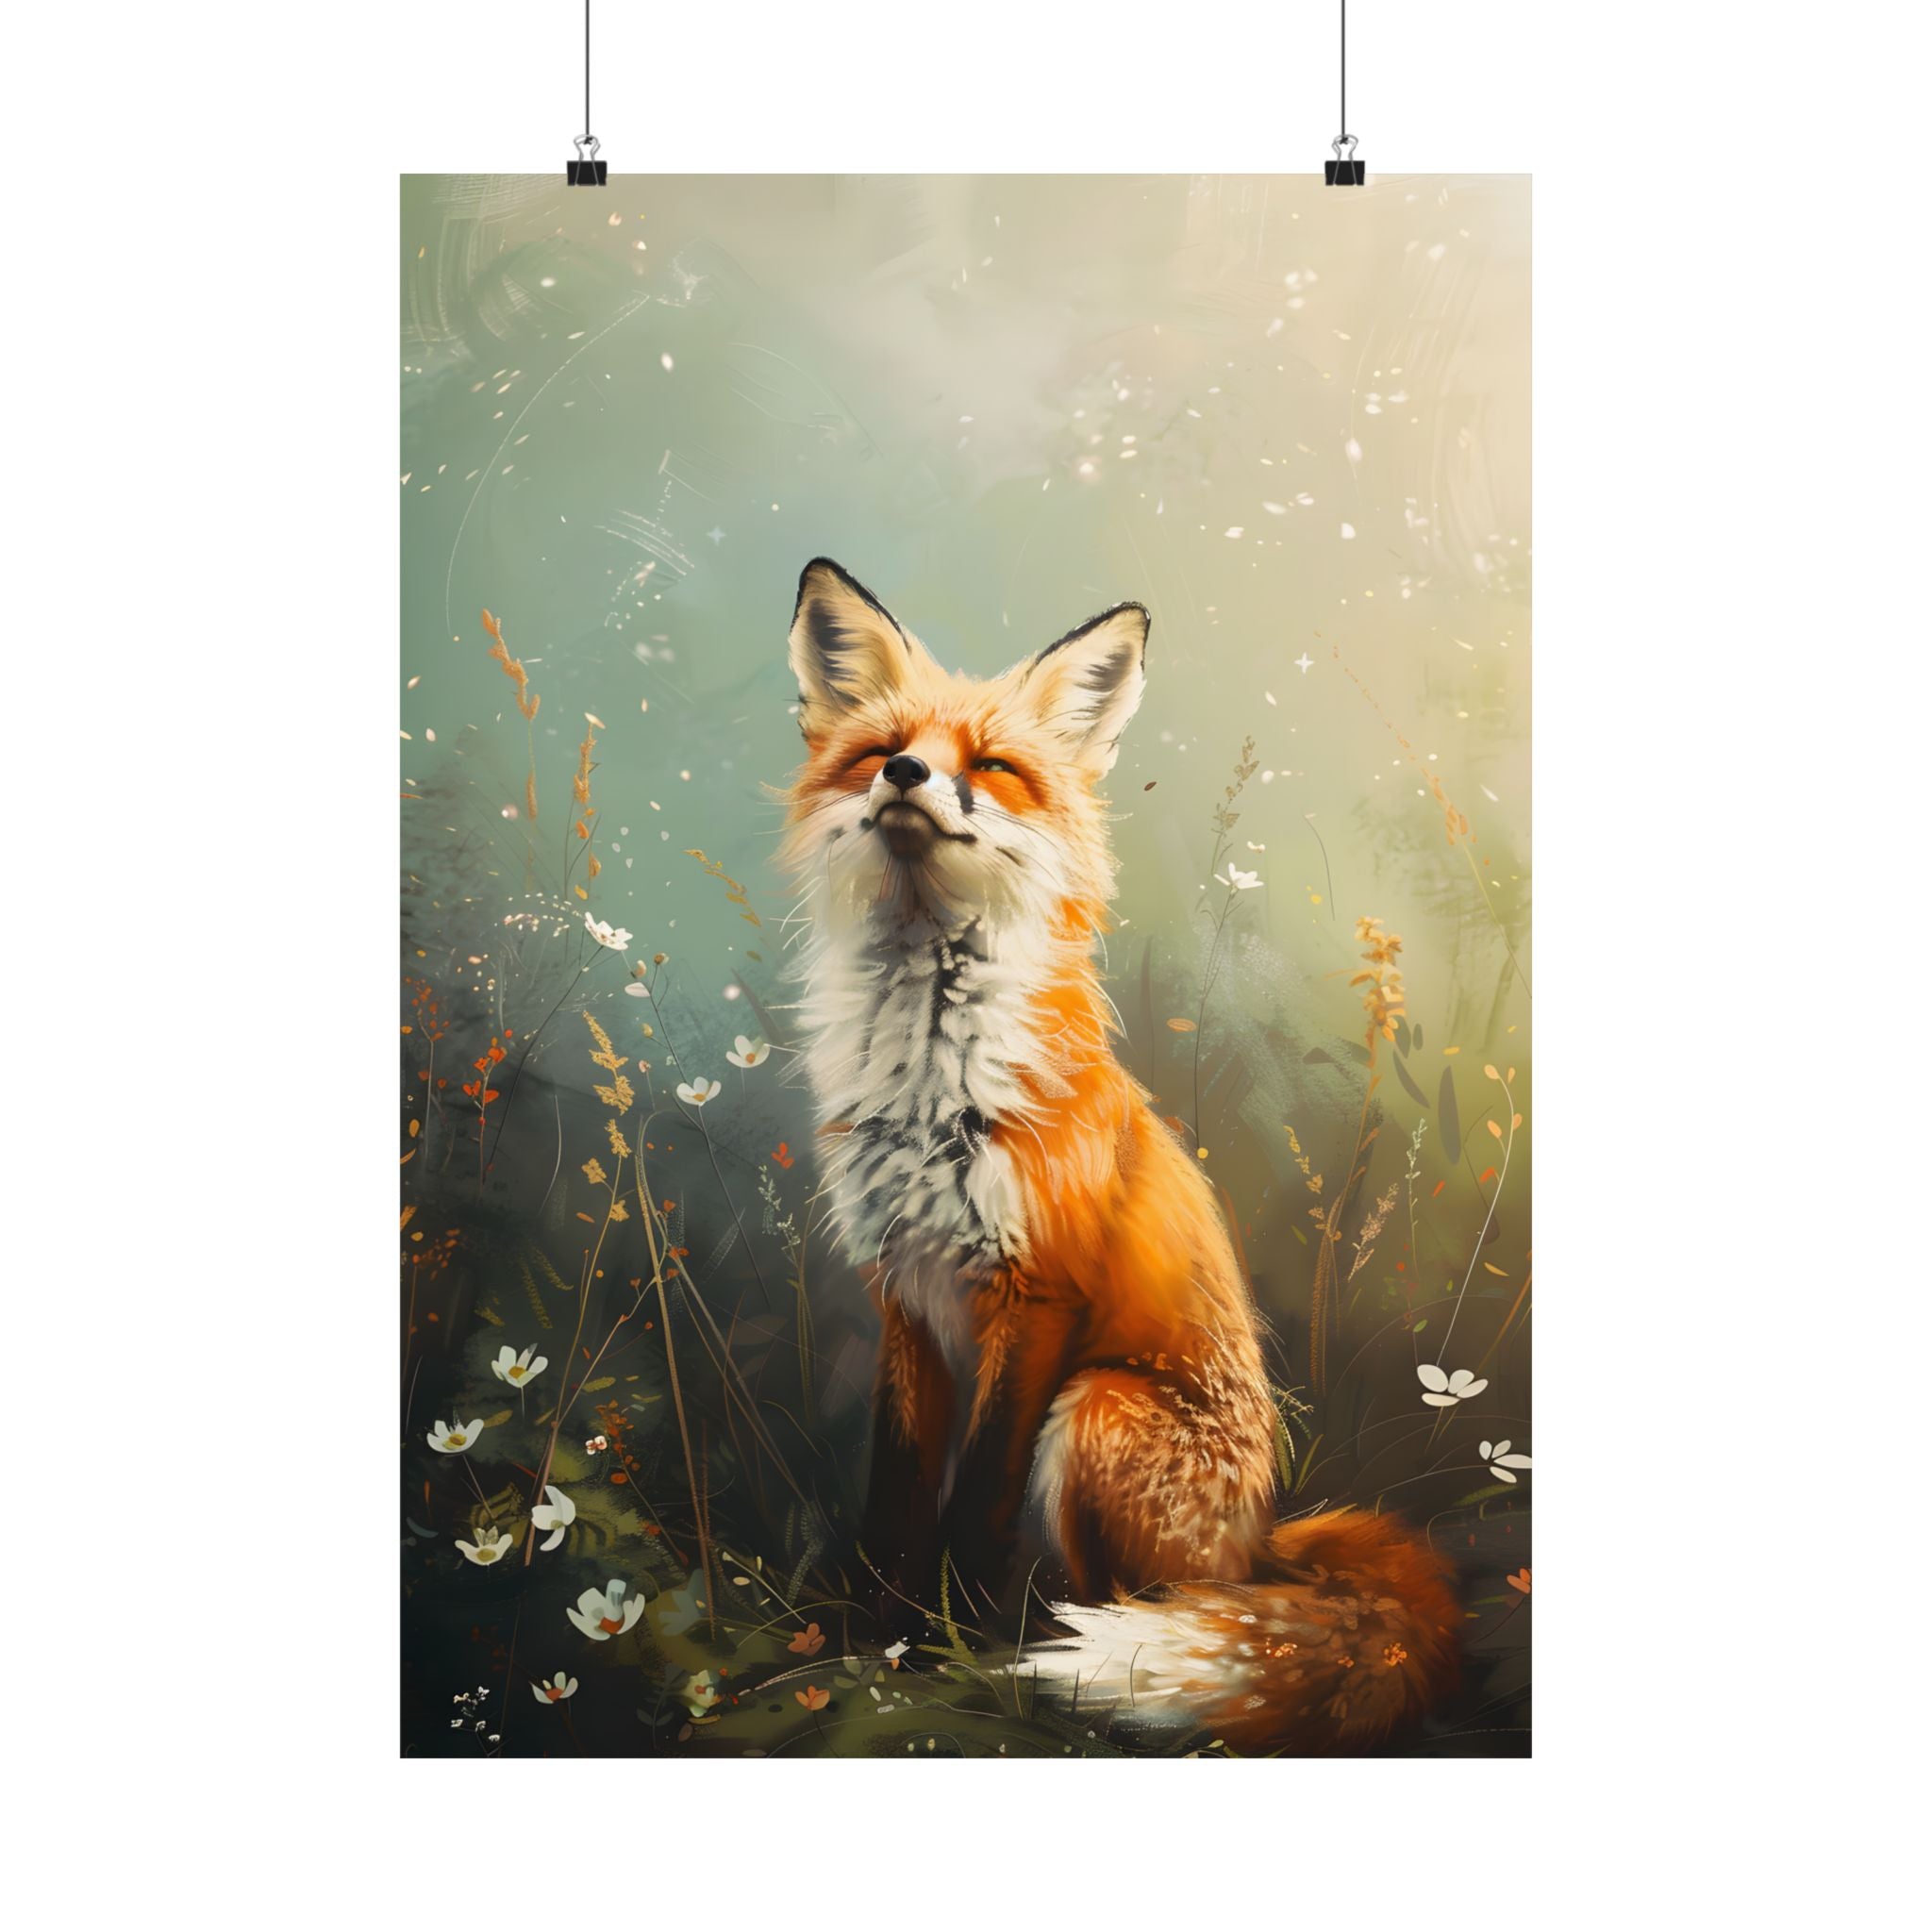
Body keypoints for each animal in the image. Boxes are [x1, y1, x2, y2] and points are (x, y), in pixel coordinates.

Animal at [781, 557, 1459, 1752]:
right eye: (882, 749)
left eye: (991, 767)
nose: (907, 774)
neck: (930, 1072)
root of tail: (1260, 1544)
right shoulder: (902, 1289)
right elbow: (895, 1493)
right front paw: (879, 1637)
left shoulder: (1036, 1291)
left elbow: (973, 1504)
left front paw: (946, 1648)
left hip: (1095, 1408)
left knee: (1141, 1607)